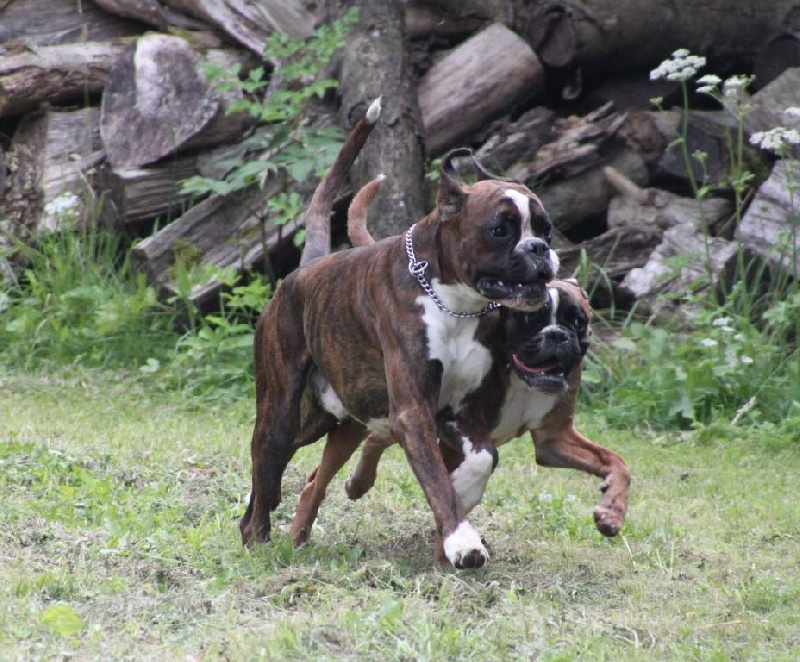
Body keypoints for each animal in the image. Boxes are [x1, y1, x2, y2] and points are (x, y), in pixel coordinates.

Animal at [241, 98, 560, 572]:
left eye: (546, 228)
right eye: (500, 229)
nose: (540, 249)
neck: (452, 302)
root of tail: (307, 267)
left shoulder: (460, 410)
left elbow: (483, 458)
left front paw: (462, 492)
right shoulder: (413, 411)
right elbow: (435, 475)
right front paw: (462, 540)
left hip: (326, 417)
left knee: (271, 474)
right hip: (283, 412)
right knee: (266, 466)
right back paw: (258, 539)